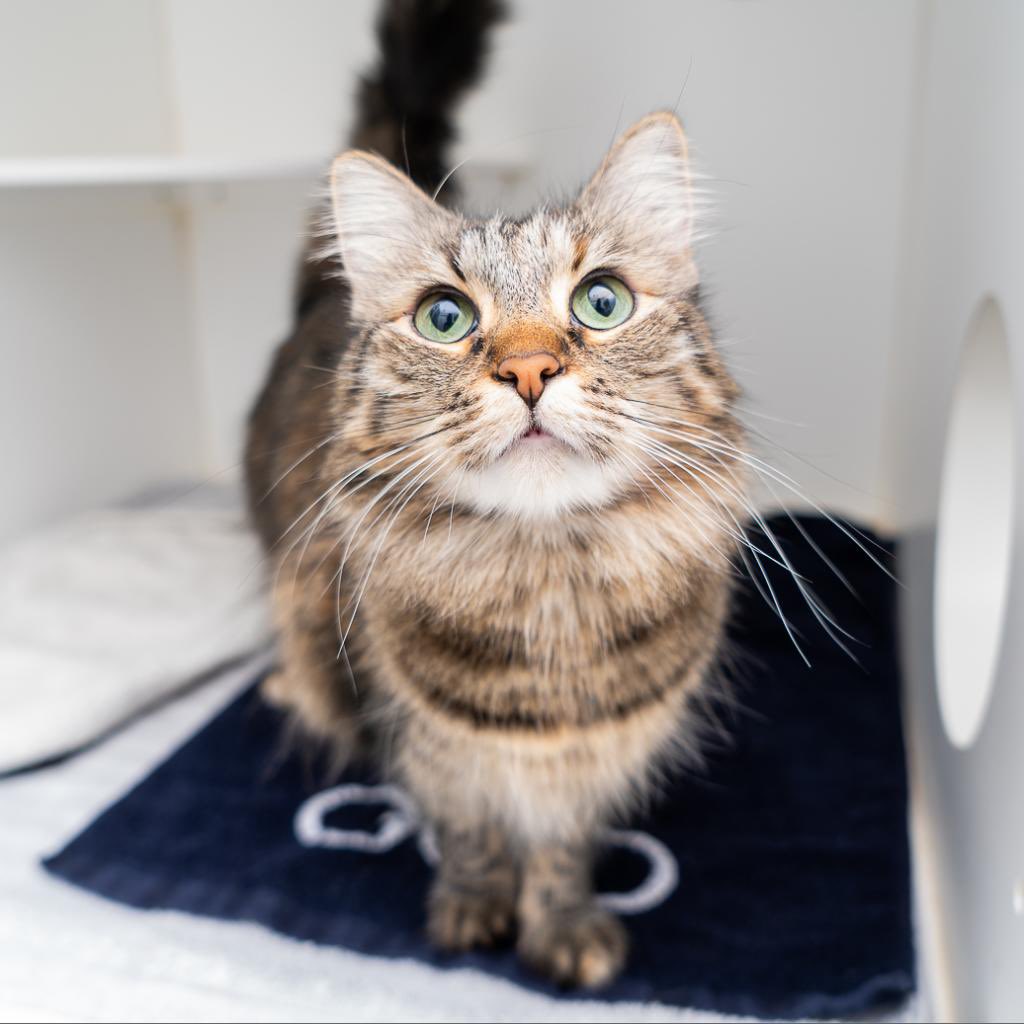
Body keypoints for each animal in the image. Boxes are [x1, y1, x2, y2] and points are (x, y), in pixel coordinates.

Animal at [244, 0, 749, 991]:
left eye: (601, 302)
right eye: (445, 317)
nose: (528, 370)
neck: (550, 589)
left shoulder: (592, 759)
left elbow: (558, 850)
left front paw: (561, 933)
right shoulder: (422, 737)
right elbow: (471, 831)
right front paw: (474, 913)